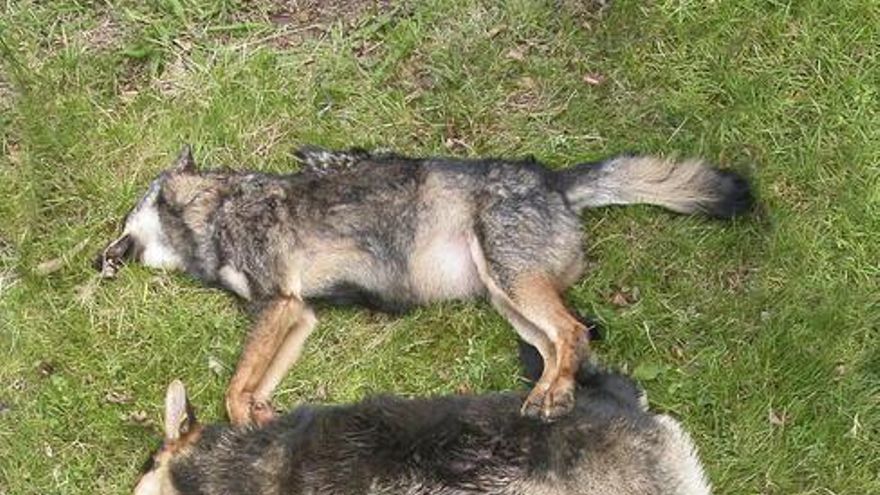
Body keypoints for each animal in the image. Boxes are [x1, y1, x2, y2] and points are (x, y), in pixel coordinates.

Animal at [97, 146, 750, 424]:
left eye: (129, 210)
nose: (98, 256)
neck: (212, 209)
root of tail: (555, 179)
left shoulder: (276, 302)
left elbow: (233, 391)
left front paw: (247, 418)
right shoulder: (297, 312)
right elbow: (252, 386)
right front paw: (263, 413)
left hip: (511, 282)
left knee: (573, 332)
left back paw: (552, 399)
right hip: (504, 298)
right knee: (560, 345)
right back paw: (549, 394)